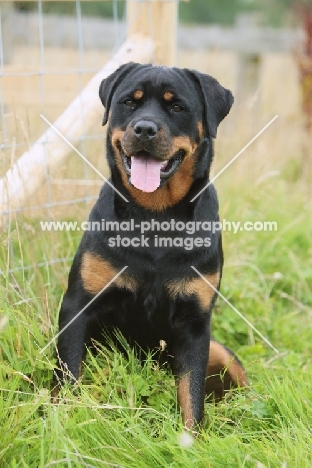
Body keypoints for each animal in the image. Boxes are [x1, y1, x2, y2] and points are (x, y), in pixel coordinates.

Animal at [54, 63, 247, 432]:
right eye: (130, 101)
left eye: (177, 107)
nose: (144, 128)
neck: (156, 216)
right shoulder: (79, 306)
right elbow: (68, 374)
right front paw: (60, 423)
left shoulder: (195, 323)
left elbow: (191, 392)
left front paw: (191, 438)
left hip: (222, 352)